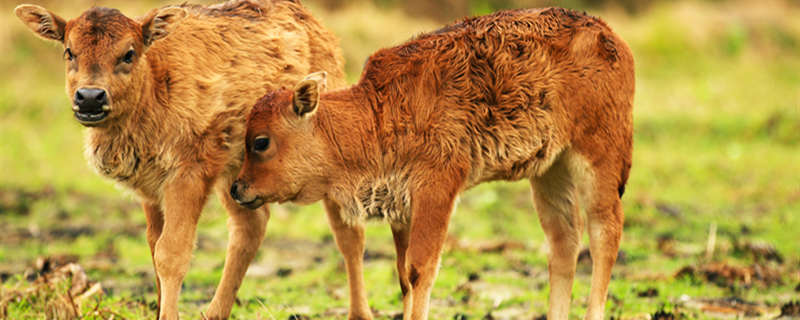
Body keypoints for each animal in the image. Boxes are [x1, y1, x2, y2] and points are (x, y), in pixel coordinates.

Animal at [12, 1, 354, 318]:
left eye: (129, 53)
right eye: (69, 52)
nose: (90, 97)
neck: (153, 83)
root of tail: (318, 28)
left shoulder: (188, 176)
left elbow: (172, 252)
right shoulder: (151, 188)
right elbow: (153, 245)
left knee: (346, 230)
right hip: (236, 174)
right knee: (250, 226)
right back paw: (214, 313)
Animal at [234, 7, 636, 320]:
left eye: (261, 142)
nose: (238, 189)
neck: (374, 115)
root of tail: (611, 37)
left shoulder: (436, 190)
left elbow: (419, 269)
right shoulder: (400, 206)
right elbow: (402, 274)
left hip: (597, 159)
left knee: (605, 232)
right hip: (550, 170)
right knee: (564, 242)